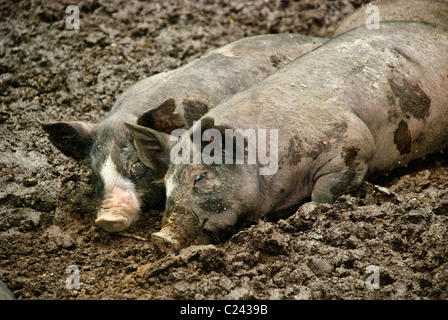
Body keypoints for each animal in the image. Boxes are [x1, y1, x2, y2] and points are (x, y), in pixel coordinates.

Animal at [129, 21, 448, 252]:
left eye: (200, 177)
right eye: (166, 185)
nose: (161, 237)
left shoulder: (352, 145)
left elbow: (324, 193)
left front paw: (309, 211)